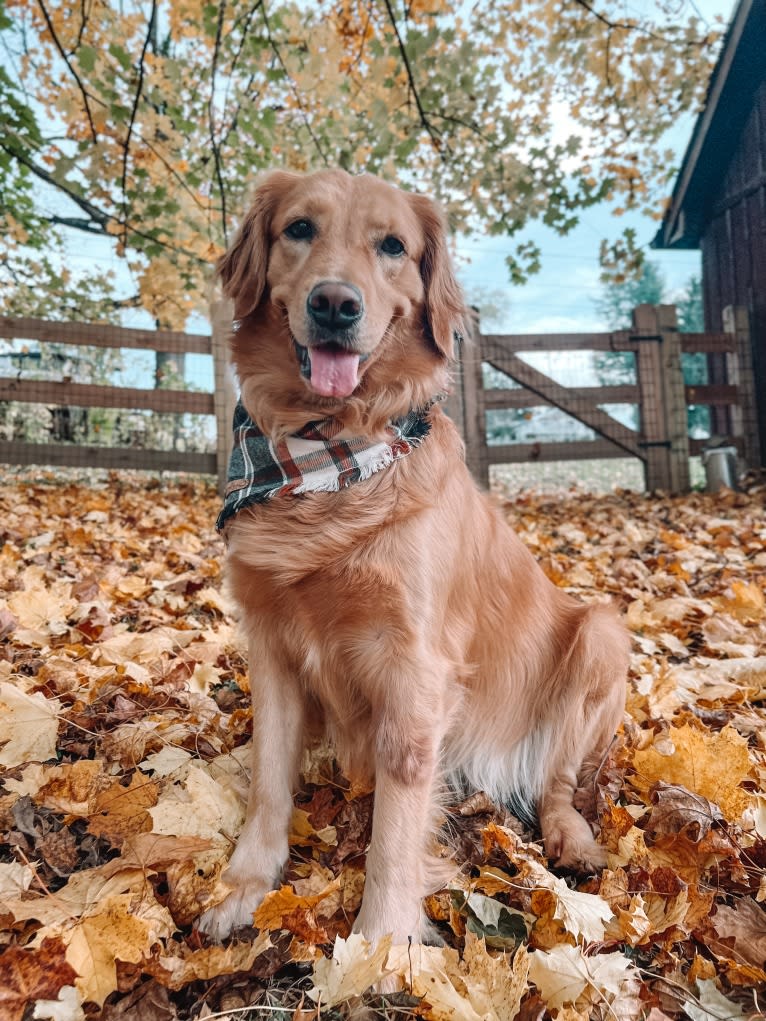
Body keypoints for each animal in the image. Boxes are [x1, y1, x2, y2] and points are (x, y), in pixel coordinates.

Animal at [198, 171, 629, 943]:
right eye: (299, 228)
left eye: (393, 246)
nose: (334, 304)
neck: (329, 455)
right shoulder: (270, 646)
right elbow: (269, 779)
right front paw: (244, 885)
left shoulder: (415, 667)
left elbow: (394, 828)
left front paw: (379, 946)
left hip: (601, 637)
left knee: (556, 783)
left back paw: (570, 838)